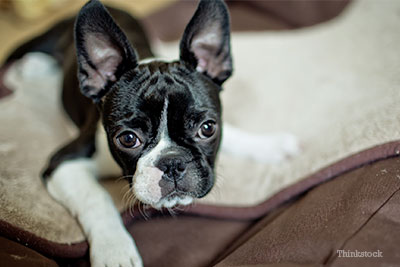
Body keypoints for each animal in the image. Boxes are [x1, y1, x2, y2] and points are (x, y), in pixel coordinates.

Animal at [4, 1, 298, 266]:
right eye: (128, 138)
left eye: (208, 128)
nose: (173, 162)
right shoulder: (65, 162)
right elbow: (96, 198)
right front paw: (115, 251)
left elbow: (235, 134)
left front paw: (269, 145)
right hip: (43, 38)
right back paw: (31, 66)